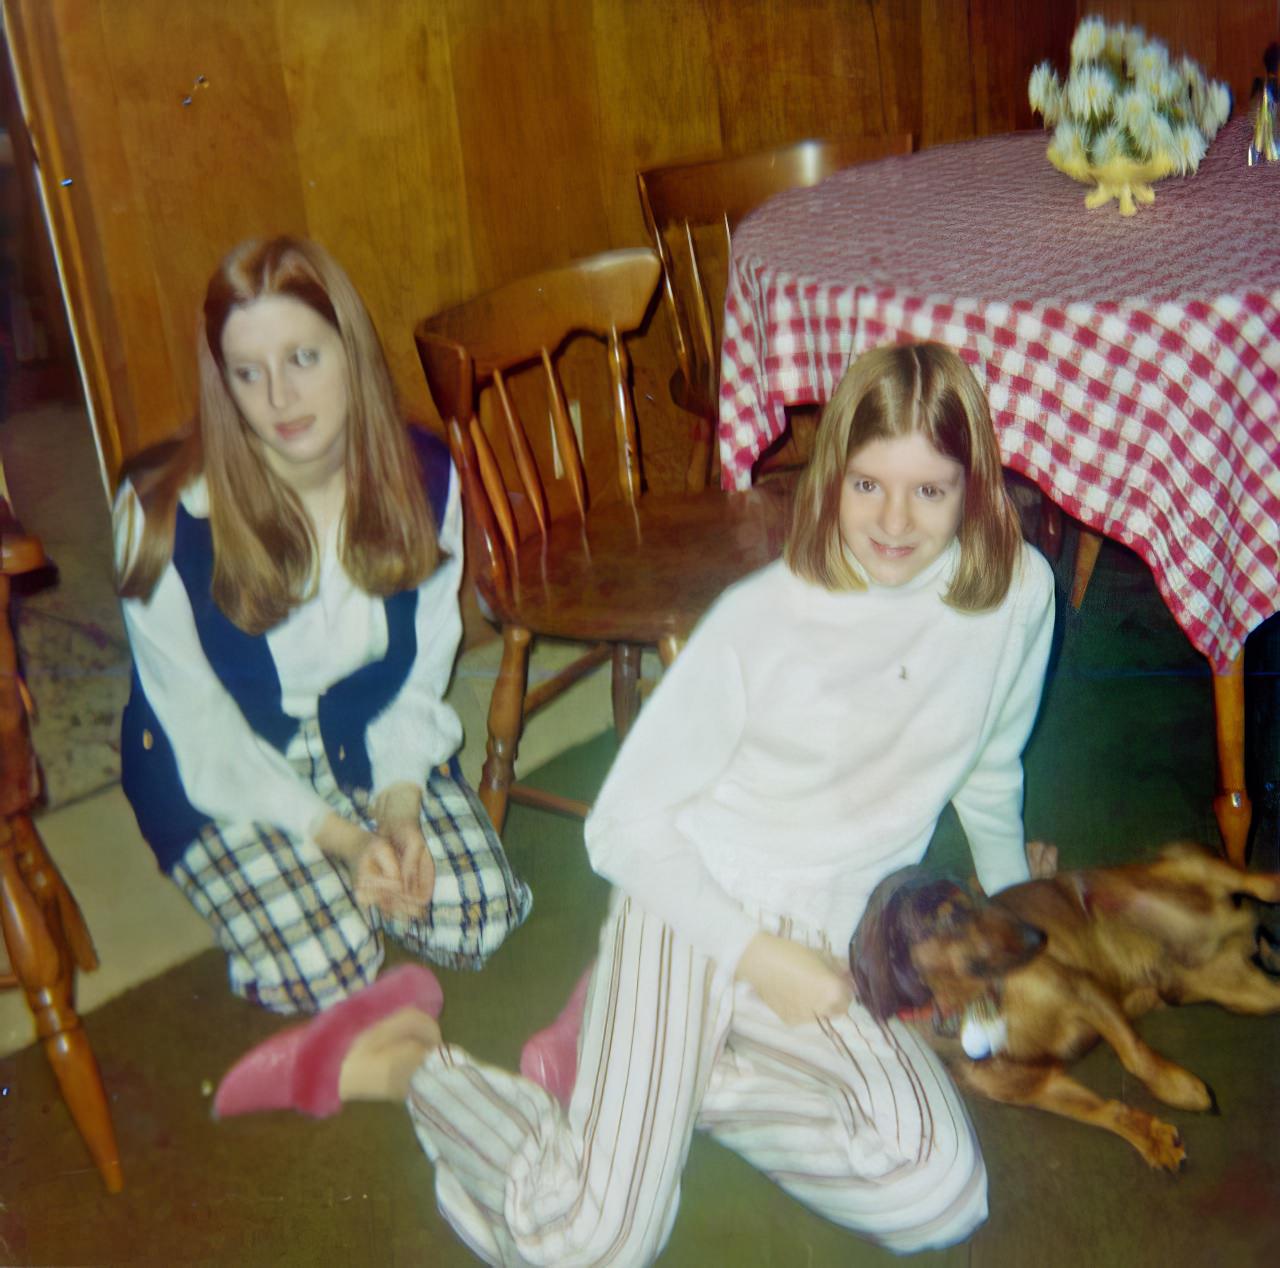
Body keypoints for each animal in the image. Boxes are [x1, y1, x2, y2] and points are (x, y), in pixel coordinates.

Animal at [849, 844, 1280, 1172]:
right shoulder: (1040, 1088)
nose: (1038, 937)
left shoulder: (1084, 991)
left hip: (1188, 864)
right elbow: (1106, 1111)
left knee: (1255, 880)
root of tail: (1245, 928)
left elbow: (1135, 1056)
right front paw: (1153, 1138)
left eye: (983, 896)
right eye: (951, 915)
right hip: (1247, 995)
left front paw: (1177, 1087)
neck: (977, 1003)